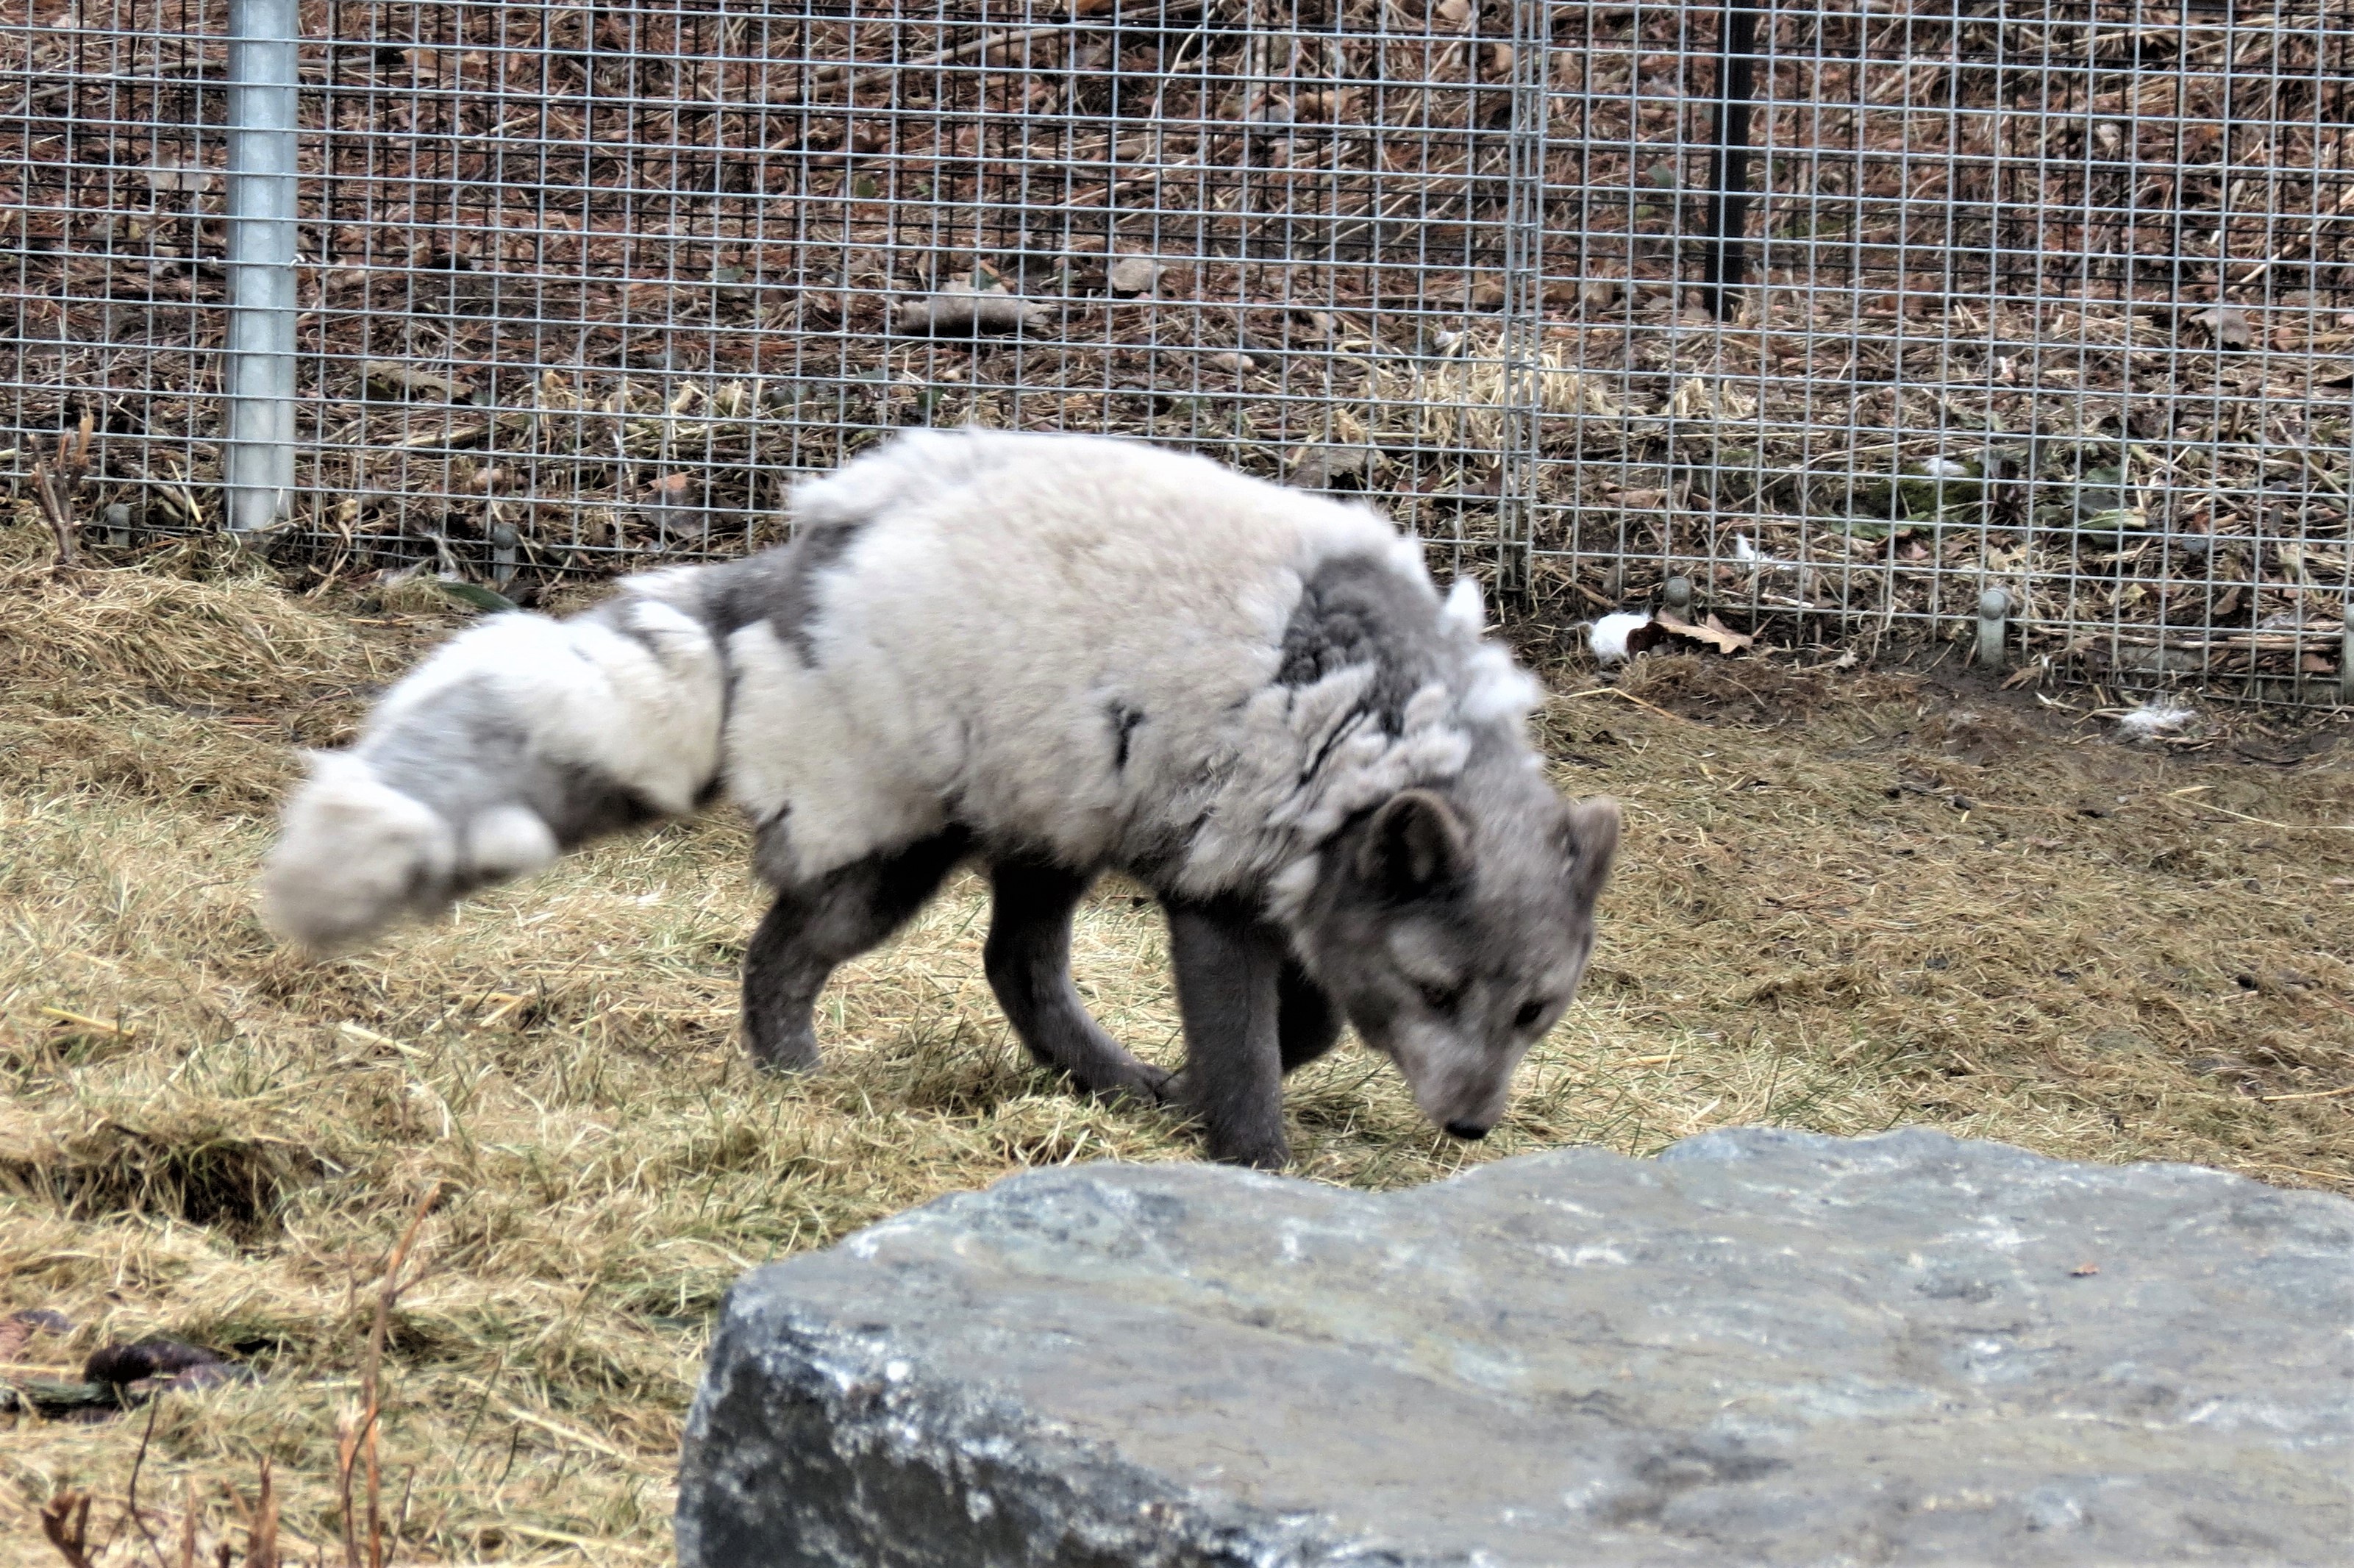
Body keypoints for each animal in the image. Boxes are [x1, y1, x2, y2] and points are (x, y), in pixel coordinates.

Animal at [264, 429, 1619, 1168]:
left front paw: (1213, 1081)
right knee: (785, 950)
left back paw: (1111, 1081)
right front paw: (1251, 1154)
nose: (1471, 1130)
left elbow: (1318, 1024)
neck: (1375, 721)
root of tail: (805, 561)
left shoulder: (1284, 887)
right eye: (1440, 993)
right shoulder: (1217, 890)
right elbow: (1247, 1054)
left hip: (1049, 822)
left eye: (1536, 1010)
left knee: (1013, 967)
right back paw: (793, 1074)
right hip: (892, 845)